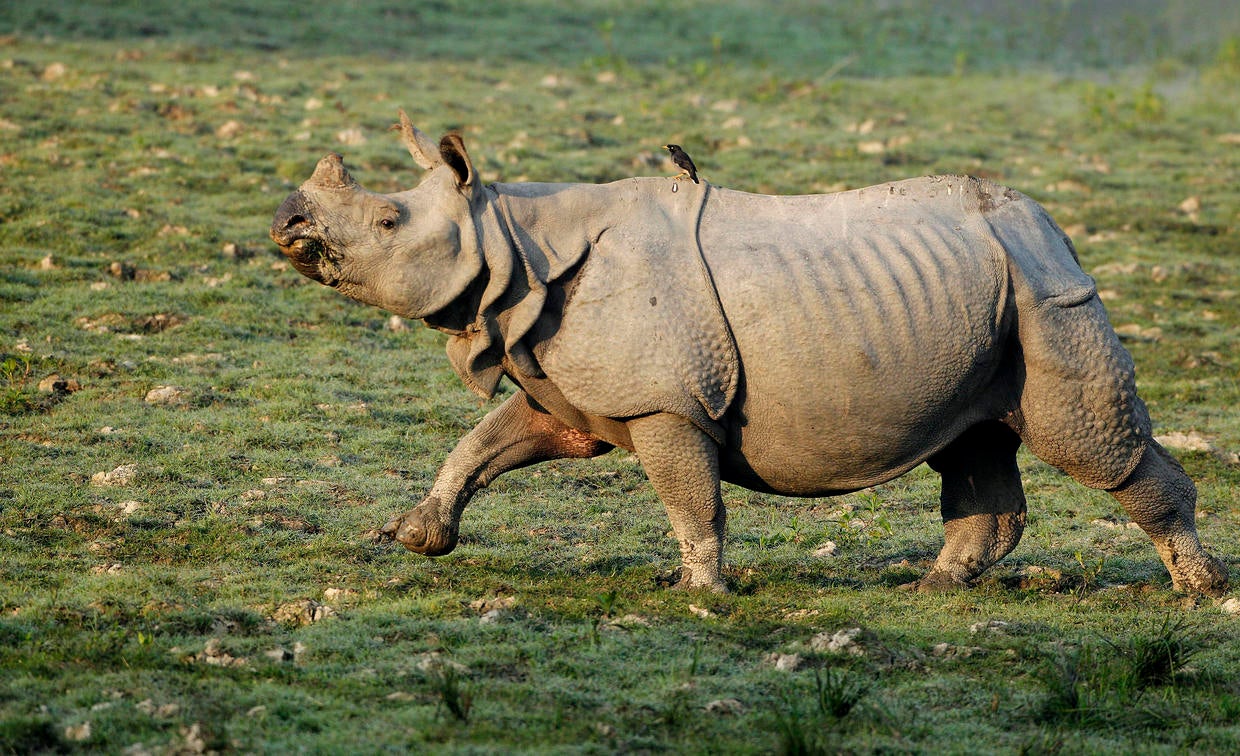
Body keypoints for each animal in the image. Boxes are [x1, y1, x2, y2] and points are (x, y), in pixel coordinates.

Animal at [268, 112, 1227, 596]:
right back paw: (935, 588)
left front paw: (698, 593)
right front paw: (417, 537)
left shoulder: (665, 401)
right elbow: (485, 443)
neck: (511, 242)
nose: (285, 222)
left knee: (1086, 443)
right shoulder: (574, 391)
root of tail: (1051, 225)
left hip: (1045, 290)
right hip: (986, 296)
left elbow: (692, 501)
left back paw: (1202, 589)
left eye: (387, 221)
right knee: (976, 435)